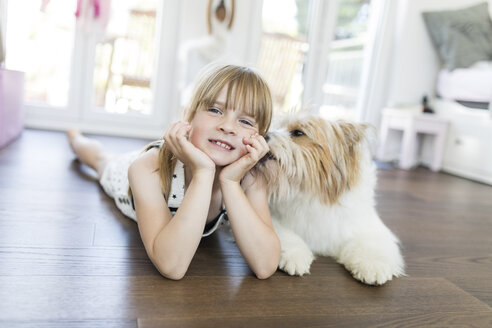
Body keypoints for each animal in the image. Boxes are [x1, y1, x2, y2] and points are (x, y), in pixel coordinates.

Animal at [258, 113, 404, 284]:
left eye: (298, 133)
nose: (263, 134)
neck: (308, 192)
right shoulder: (272, 217)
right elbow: (284, 234)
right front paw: (295, 255)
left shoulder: (368, 227)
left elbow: (372, 243)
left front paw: (372, 264)